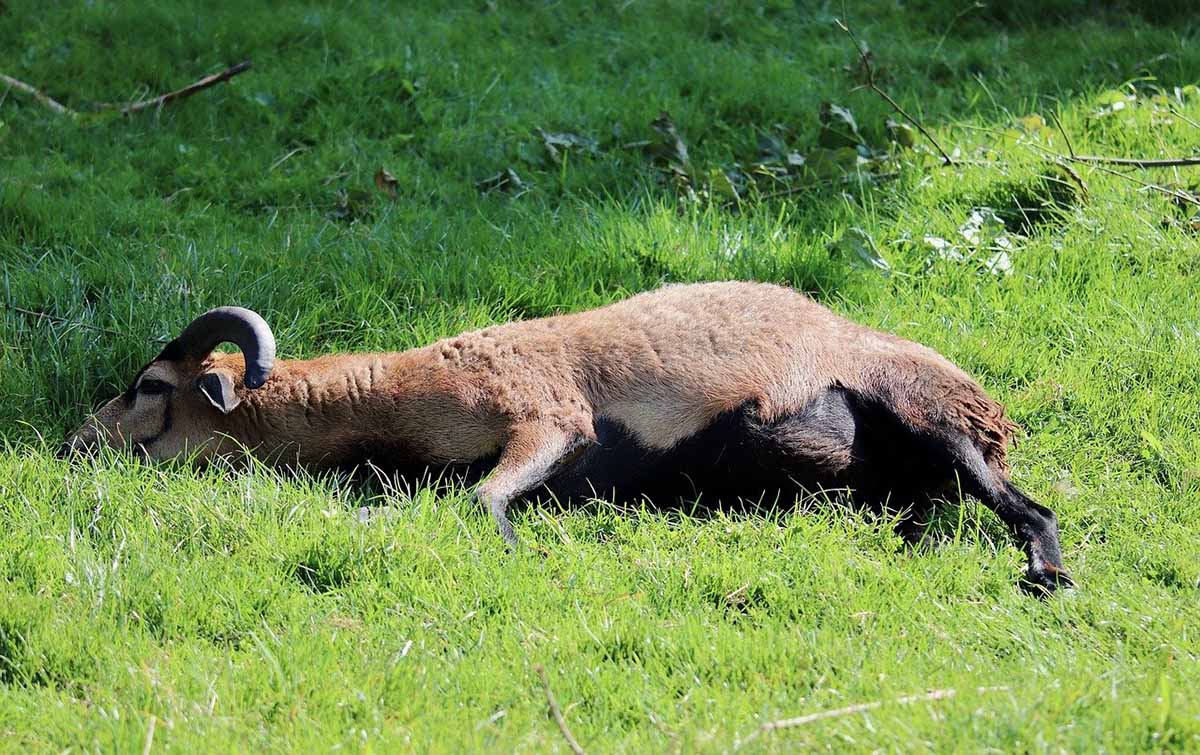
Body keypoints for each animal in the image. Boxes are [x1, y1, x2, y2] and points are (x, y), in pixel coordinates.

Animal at [60, 279, 1075, 592]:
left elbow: (484, 498)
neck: (384, 396)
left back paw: (1047, 575)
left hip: (934, 417)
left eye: (149, 386)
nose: (74, 443)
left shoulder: (545, 415)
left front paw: (515, 550)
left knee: (1028, 505)